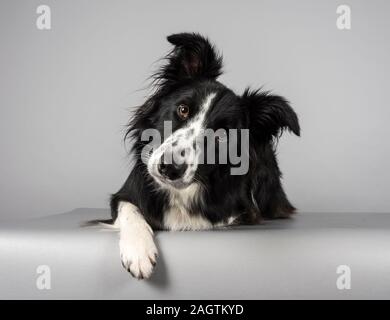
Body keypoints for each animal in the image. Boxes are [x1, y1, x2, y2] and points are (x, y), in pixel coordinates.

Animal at [97, 31, 298, 278]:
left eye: (222, 136)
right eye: (183, 110)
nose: (170, 168)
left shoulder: (239, 213)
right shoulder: (125, 195)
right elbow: (131, 211)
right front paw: (138, 252)